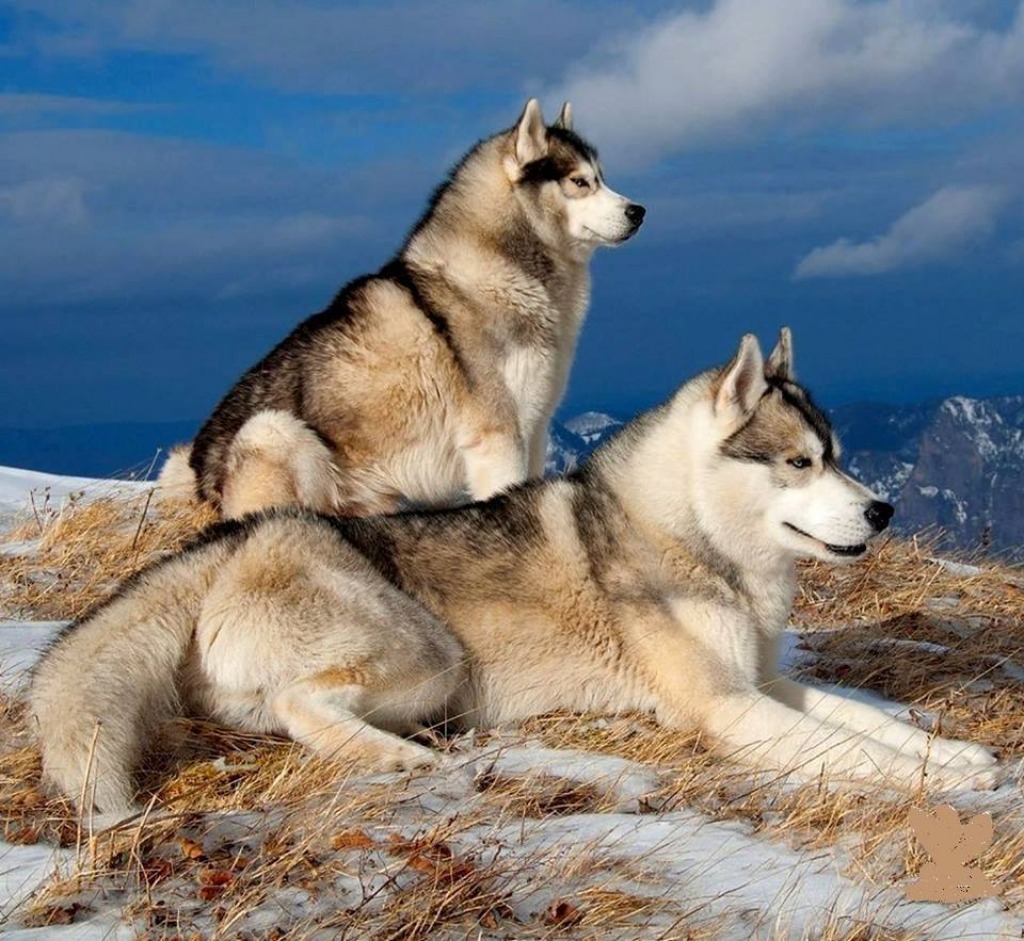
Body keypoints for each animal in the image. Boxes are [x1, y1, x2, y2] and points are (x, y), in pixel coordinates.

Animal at [33, 330, 998, 817]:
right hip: (432, 655)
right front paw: (944, 781)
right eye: (799, 462)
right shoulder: (728, 707)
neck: (696, 540)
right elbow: (855, 749)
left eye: (837, 456)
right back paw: (402, 757)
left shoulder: (764, 683)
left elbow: (871, 722)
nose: (883, 511)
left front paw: (956, 756)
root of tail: (240, 538)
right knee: (300, 704)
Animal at [160, 99, 645, 519]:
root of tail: (196, 469)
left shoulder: (537, 428)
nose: (638, 211)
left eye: (603, 177)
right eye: (580, 182)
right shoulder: (498, 439)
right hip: (274, 431)